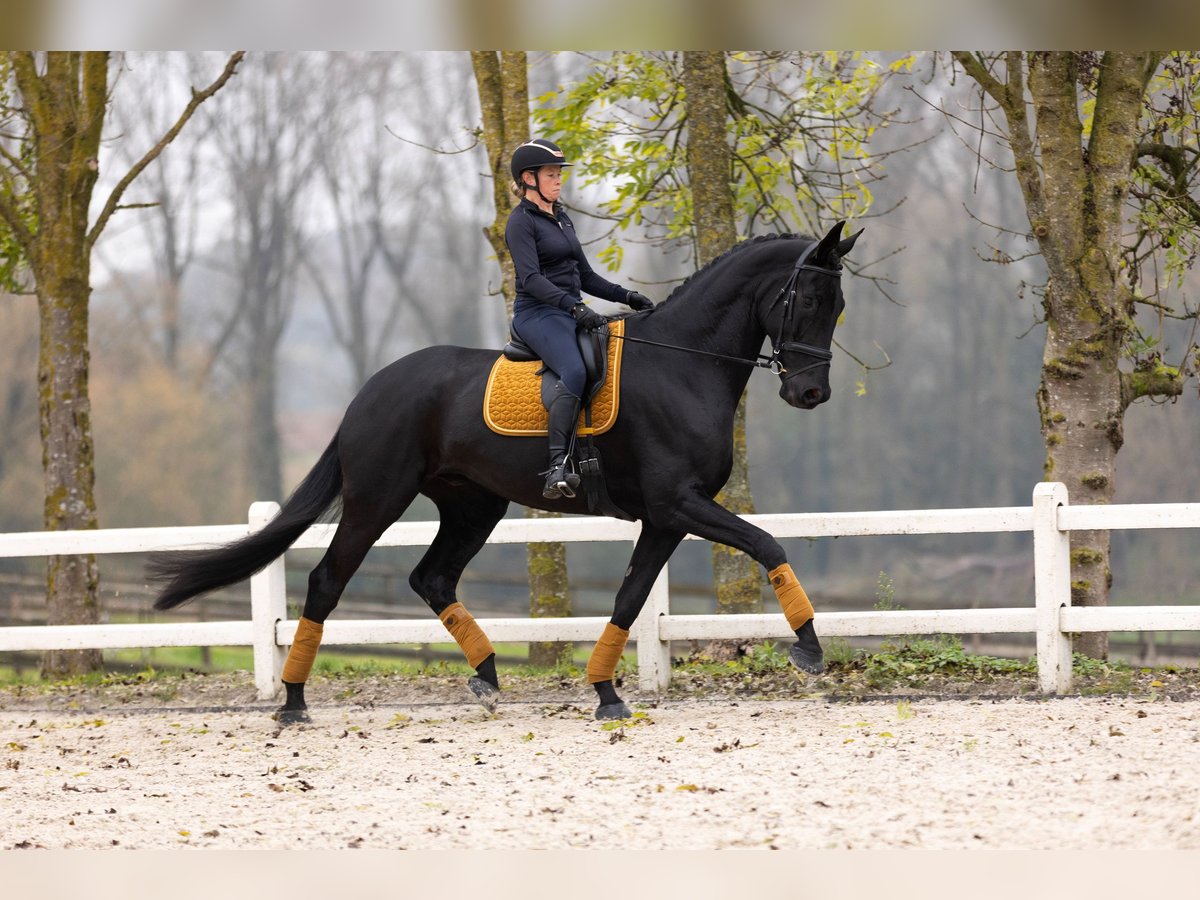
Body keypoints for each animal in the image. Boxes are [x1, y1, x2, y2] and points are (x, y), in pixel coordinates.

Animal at [150, 224, 864, 724]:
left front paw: (606, 693)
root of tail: (369, 391)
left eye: (838, 305)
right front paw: (810, 651)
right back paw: (294, 702)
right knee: (329, 580)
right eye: (807, 298)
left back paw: (489, 676)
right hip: (378, 498)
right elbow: (766, 543)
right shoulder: (678, 504)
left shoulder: (664, 518)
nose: (811, 394)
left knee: (432, 578)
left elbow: (630, 599)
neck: (684, 365)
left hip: (473, 506)